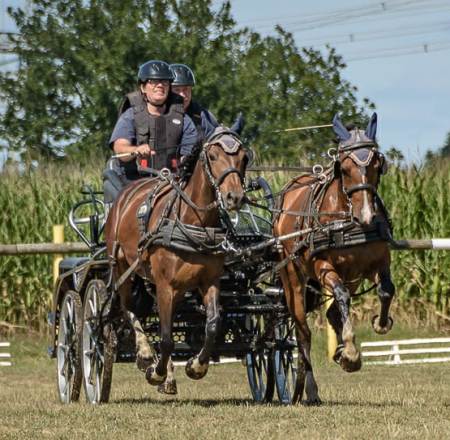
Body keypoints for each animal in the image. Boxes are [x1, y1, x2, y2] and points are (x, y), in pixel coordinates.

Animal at [103, 127, 248, 392]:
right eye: (213, 157)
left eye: (244, 158)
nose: (234, 197)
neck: (193, 221)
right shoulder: (165, 286)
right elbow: (167, 338)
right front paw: (155, 372)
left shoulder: (209, 282)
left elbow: (212, 325)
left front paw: (196, 366)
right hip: (121, 268)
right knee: (127, 307)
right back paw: (145, 354)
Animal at [270, 114, 394, 406]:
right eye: (345, 168)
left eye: (376, 163)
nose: (366, 216)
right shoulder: (323, 267)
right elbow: (340, 297)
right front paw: (350, 353)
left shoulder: (376, 263)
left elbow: (386, 290)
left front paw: (380, 324)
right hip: (293, 277)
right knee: (302, 332)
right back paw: (310, 389)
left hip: (352, 276)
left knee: (332, 312)